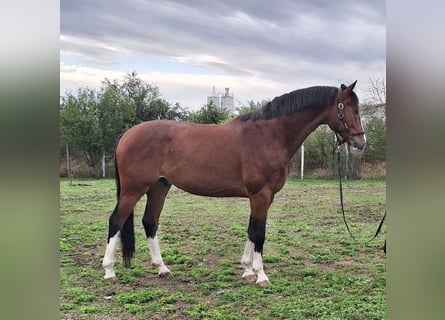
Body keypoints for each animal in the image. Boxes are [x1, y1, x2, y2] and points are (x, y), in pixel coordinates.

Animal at [101, 81, 364, 286]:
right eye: (351, 109)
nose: (361, 142)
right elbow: (259, 233)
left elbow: (251, 230)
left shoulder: (264, 197)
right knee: (116, 220)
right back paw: (109, 271)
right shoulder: (260, 195)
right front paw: (260, 275)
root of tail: (127, 135)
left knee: (150, 222)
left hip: (159, 187)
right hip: (133, 189)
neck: (270, 135)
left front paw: (247, 270)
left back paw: (162, 268)